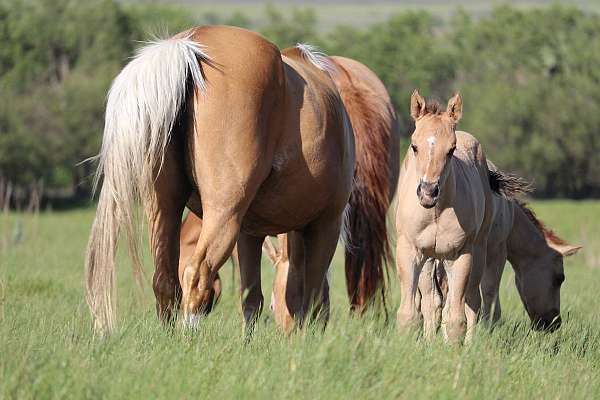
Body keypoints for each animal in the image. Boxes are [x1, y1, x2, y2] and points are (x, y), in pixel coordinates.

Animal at [85, 23, 356, 332]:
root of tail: (190, 46)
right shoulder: (326, 223)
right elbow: (311, 295)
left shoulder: (250, 232)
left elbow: (252, 299)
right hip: (223, 213)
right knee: (197, 275)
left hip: (164, 207)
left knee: (165, 281)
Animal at [394, 90, 492, 340]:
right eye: (414, 146)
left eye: (451, 149)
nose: (428, 192)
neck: (435, 213)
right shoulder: (410, 251)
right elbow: (409, 314)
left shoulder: (460, 255)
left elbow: (457, 319)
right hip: (430, 259)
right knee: (432, 302)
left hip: (476, 252)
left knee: (471, 302)